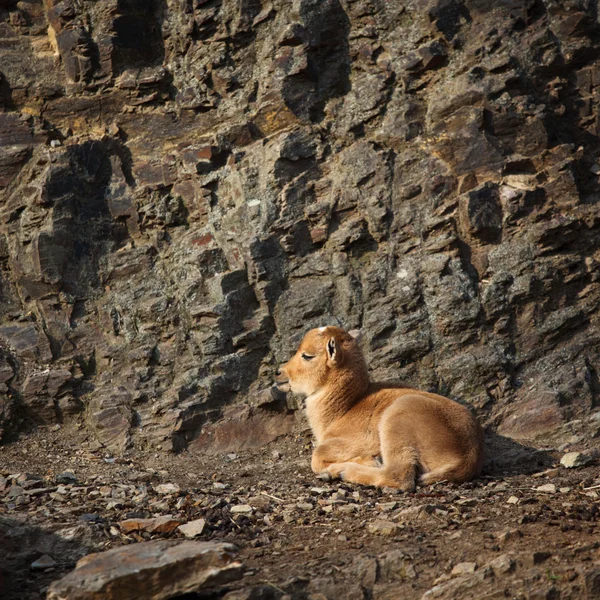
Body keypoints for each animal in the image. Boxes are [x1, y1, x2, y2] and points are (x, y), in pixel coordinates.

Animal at [276, 326, 482, 490]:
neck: (344, 408)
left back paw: (340, 471)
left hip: (397, 422)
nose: (279, 373)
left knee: (399, 476)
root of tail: (468, 457)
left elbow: (317, 456)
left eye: (307, 355)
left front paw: (369, 461)